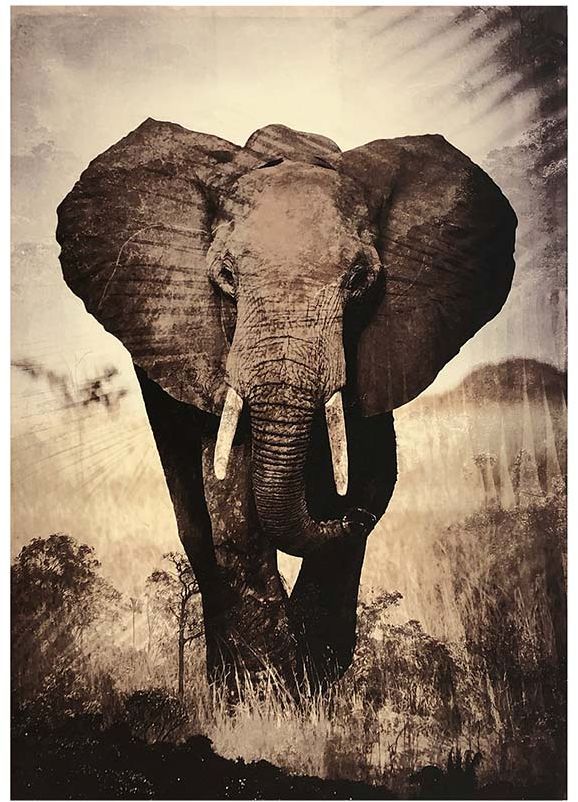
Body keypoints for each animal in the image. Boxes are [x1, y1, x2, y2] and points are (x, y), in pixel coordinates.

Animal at [56, 120, 516, 695]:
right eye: (226, 276)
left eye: (359, 280)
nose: (338, 512)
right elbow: (229, 497)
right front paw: (267, 688)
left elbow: (370, 475)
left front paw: (310, 681)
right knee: (194, 525)